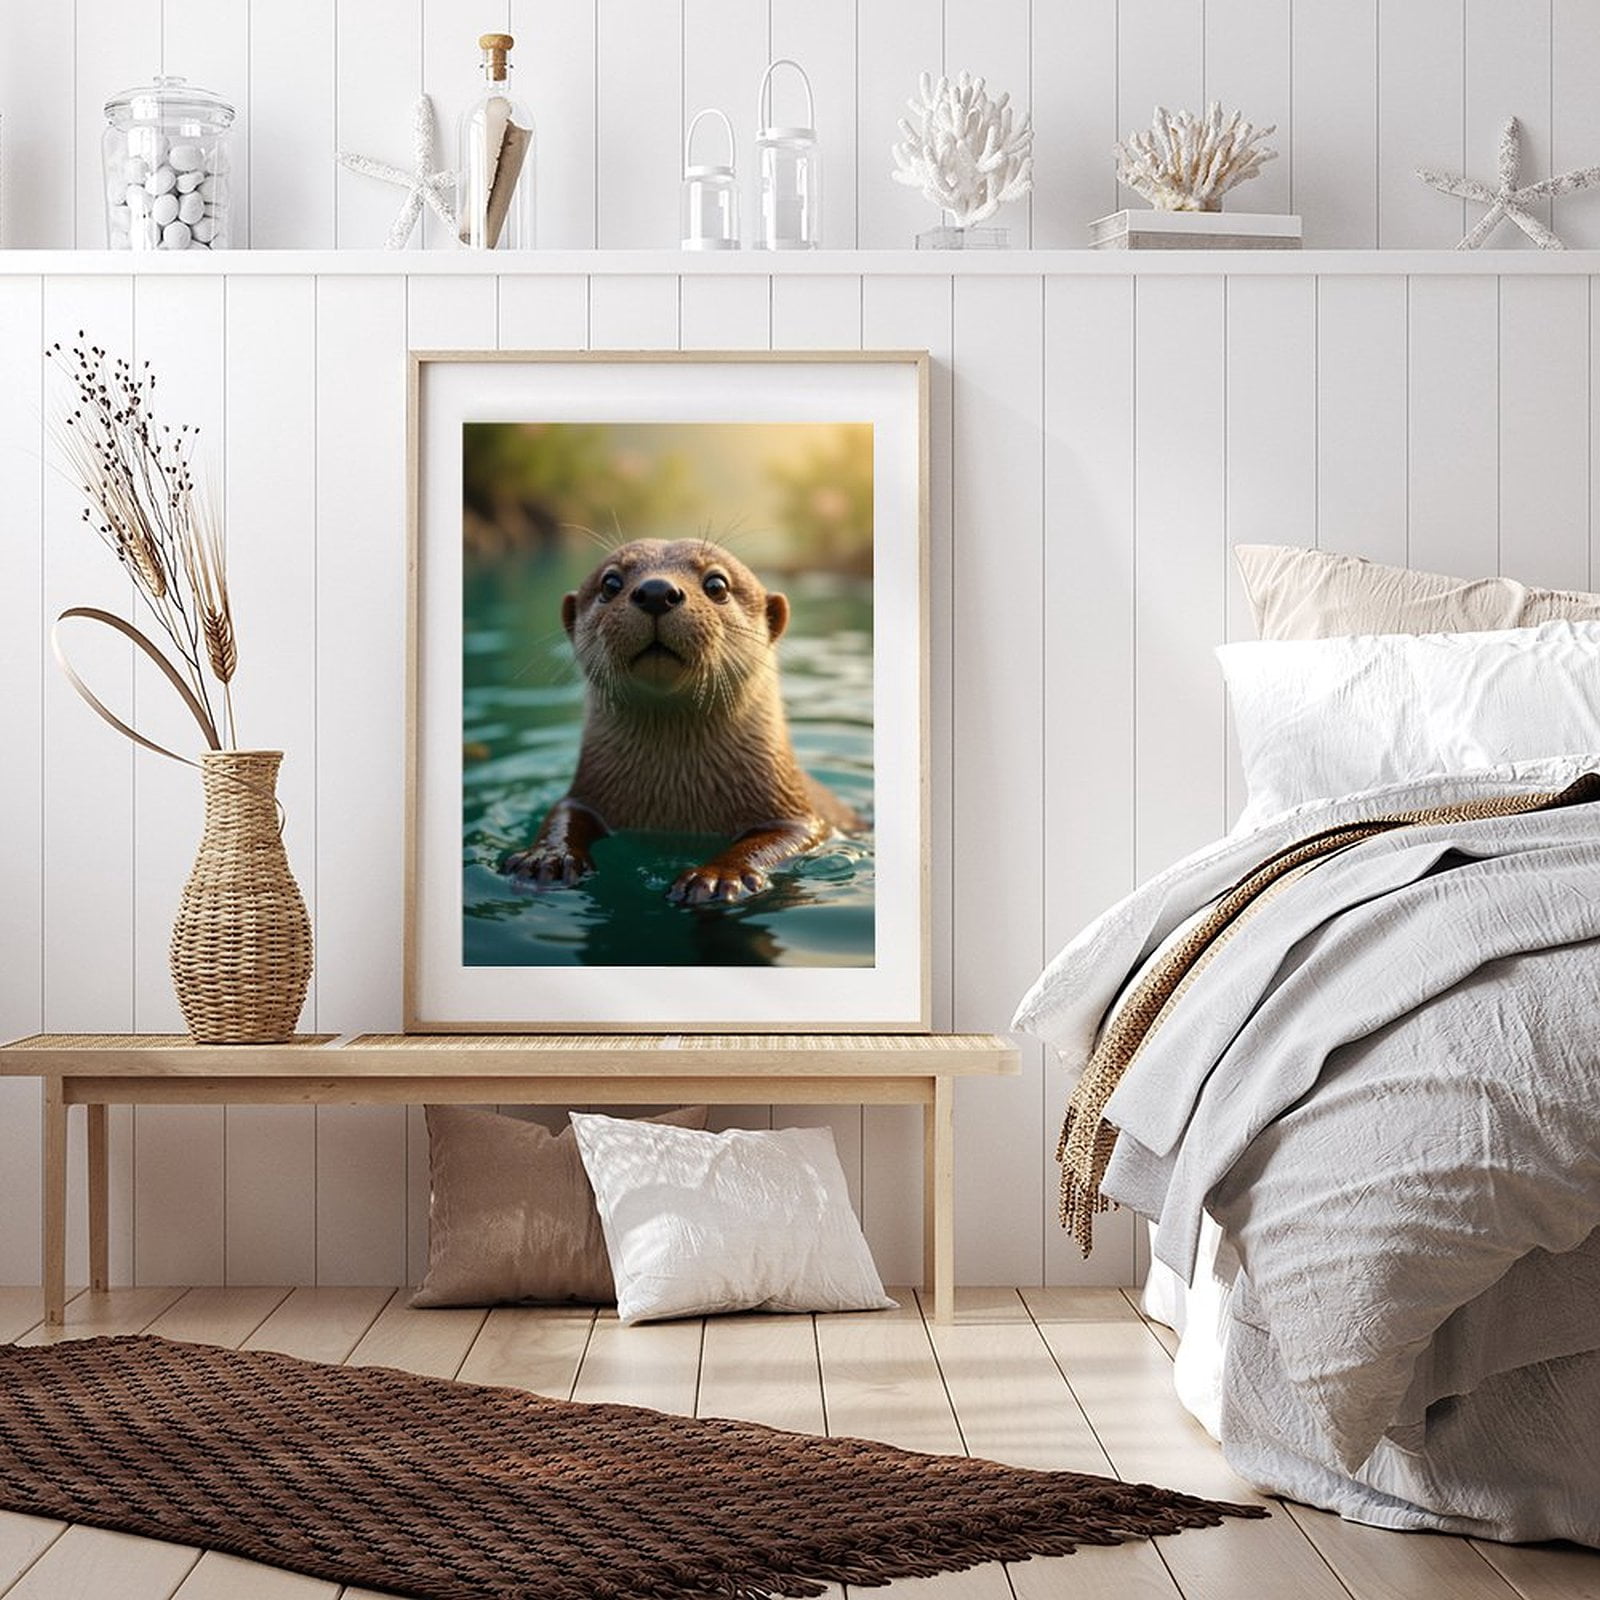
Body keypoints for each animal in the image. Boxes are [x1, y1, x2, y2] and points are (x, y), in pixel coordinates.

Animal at [503, 538, 859, 906]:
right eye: (610, 583)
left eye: (717, 584)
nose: (656, 591)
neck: (676, 802)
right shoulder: (584, 794)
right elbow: (563, 813)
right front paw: (547, 857)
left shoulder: (795, 811)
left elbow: (781, 836)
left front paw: (718, 876)